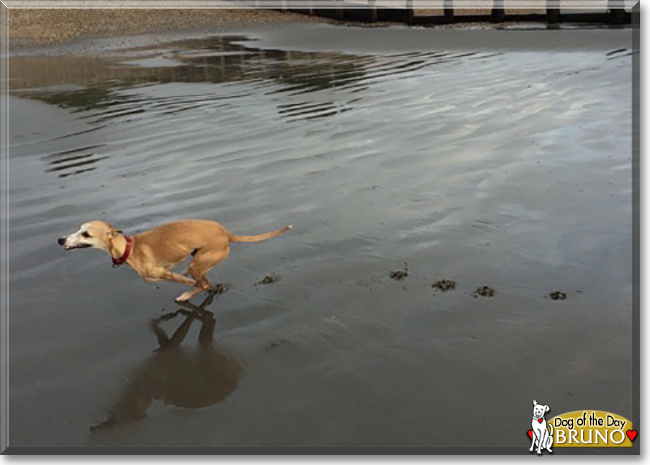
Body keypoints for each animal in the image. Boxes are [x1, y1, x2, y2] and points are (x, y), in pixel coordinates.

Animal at [58, 220, 292, 302]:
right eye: (79, 229)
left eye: (86, 234)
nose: (60, 239)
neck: (129, 248)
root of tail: (227, 234)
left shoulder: (161, 273)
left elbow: (183, 280)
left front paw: (186, 288)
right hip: (199, 260)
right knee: (205, 281)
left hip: (198, 263)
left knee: (203, 284)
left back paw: (186, 294)